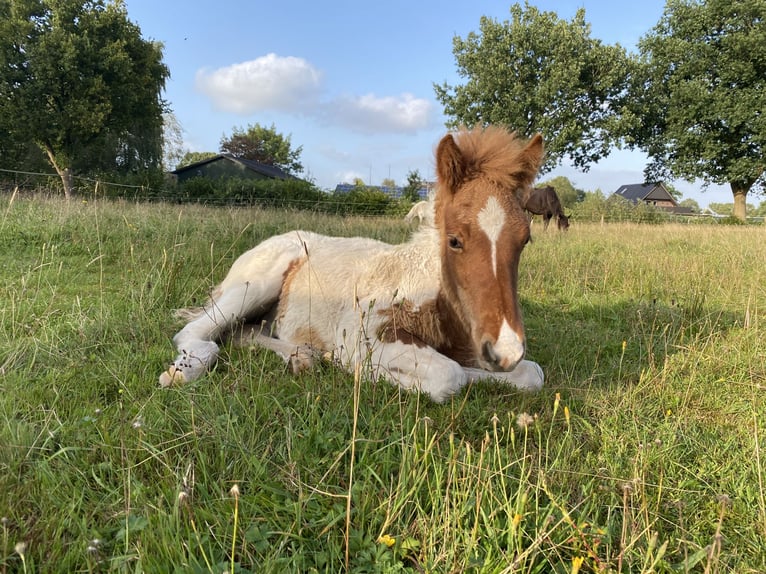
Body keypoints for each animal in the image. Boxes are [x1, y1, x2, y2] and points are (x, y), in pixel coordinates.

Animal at [160, 127, 544, 404]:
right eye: (454, 240)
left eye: (525, 239)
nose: (506, 351)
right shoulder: (364, 332)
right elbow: (450, 375)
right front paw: (355, 367)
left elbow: (532, 374)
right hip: (254, 287)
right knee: (196, 332)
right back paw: (186, 369)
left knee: (242, 333)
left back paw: (303, 356)